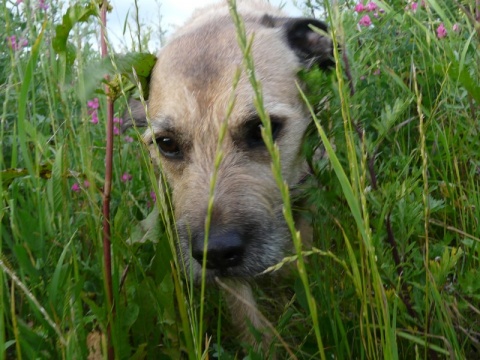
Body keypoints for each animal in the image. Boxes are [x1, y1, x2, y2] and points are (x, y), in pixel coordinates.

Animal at [125, 0, 332, 352]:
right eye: (166, 143)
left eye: (261, 128)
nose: (216, 252)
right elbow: (244, 309)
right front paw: (264, 347)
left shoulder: (307, 189)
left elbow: (303, 239)